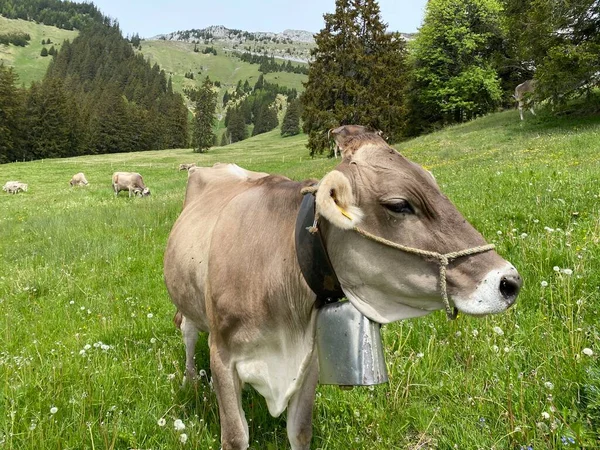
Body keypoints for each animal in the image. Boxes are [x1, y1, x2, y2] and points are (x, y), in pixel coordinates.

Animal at [163, 127, 520, 450]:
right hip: (188, 306)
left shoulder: (308, 360)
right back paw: (190, 380)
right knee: (189, 332)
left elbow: (300, 432)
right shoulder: (223, 355)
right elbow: (236, 437)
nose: (509, 282)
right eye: (399, 204)